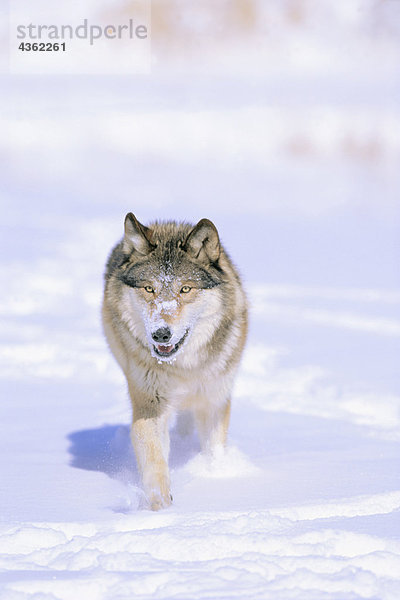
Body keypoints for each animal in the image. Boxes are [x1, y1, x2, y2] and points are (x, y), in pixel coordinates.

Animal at [101, 213, 248, 508]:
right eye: (149, 289)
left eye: (185, 289)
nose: (161, 334)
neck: (184, 368)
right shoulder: (150, 403)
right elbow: (153, 458)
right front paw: (161, 507)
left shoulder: (214, 399)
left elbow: (213, 448)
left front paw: (215, 475)